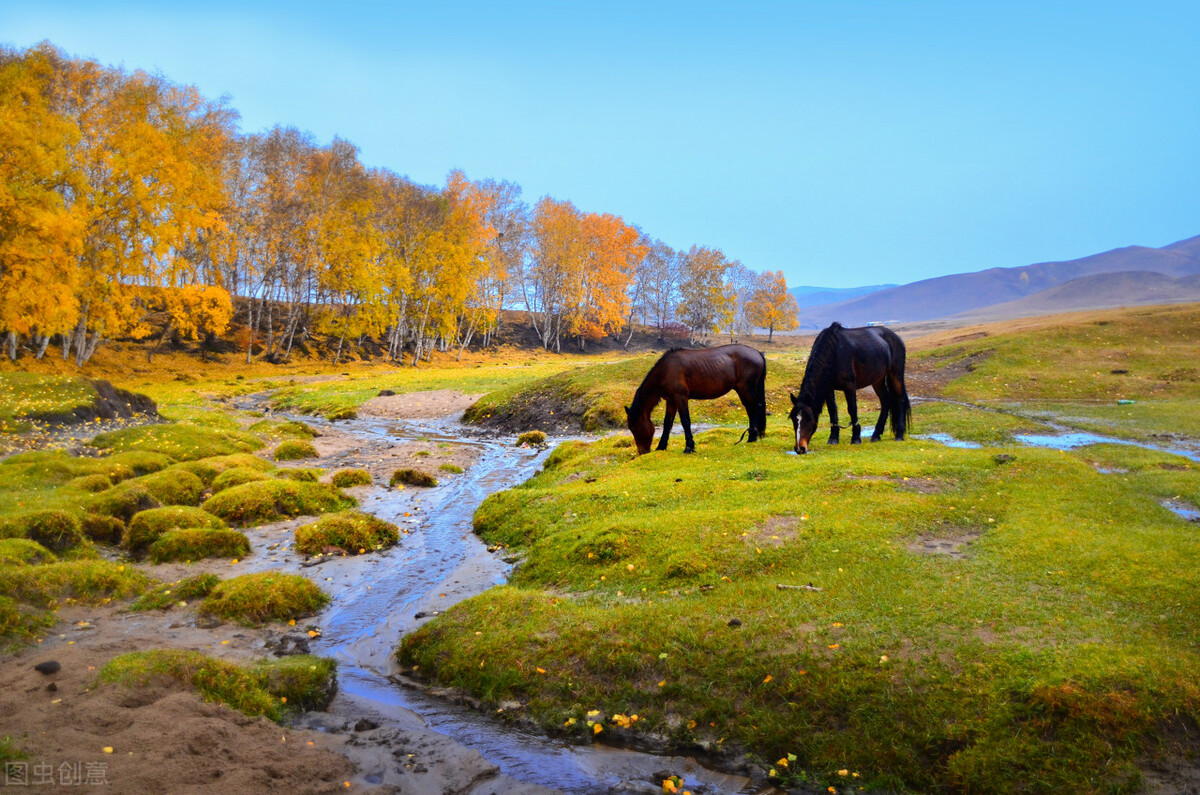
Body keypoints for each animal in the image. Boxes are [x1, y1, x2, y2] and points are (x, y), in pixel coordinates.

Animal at [628, 343, 768, 453]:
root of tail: (757, 352)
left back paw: (752, 437)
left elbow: (685, 421)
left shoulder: (681, 397)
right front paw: (661, 446)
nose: (642, 452)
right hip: (742, 391)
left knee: (757, 407)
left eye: (634, 428)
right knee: (750, 409)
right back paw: (751, 437)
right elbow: (667, 423)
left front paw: (689, 447)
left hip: (746, 389)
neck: (666, 369)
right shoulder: (671, 400)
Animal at [787, 321, 907, 453]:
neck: (833, 352)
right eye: (793, 419)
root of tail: (896, 338)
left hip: (896, 374)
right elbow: (832, 411)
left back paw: (899, 435)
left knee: (900, 399)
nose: (799, 448)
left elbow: (852, 409)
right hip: (878, 380)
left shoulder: (849, 386)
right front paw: (833, 438)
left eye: (808, 418)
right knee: (885, 401)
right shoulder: (828, 388)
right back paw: (876, 435)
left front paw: (856, 438)